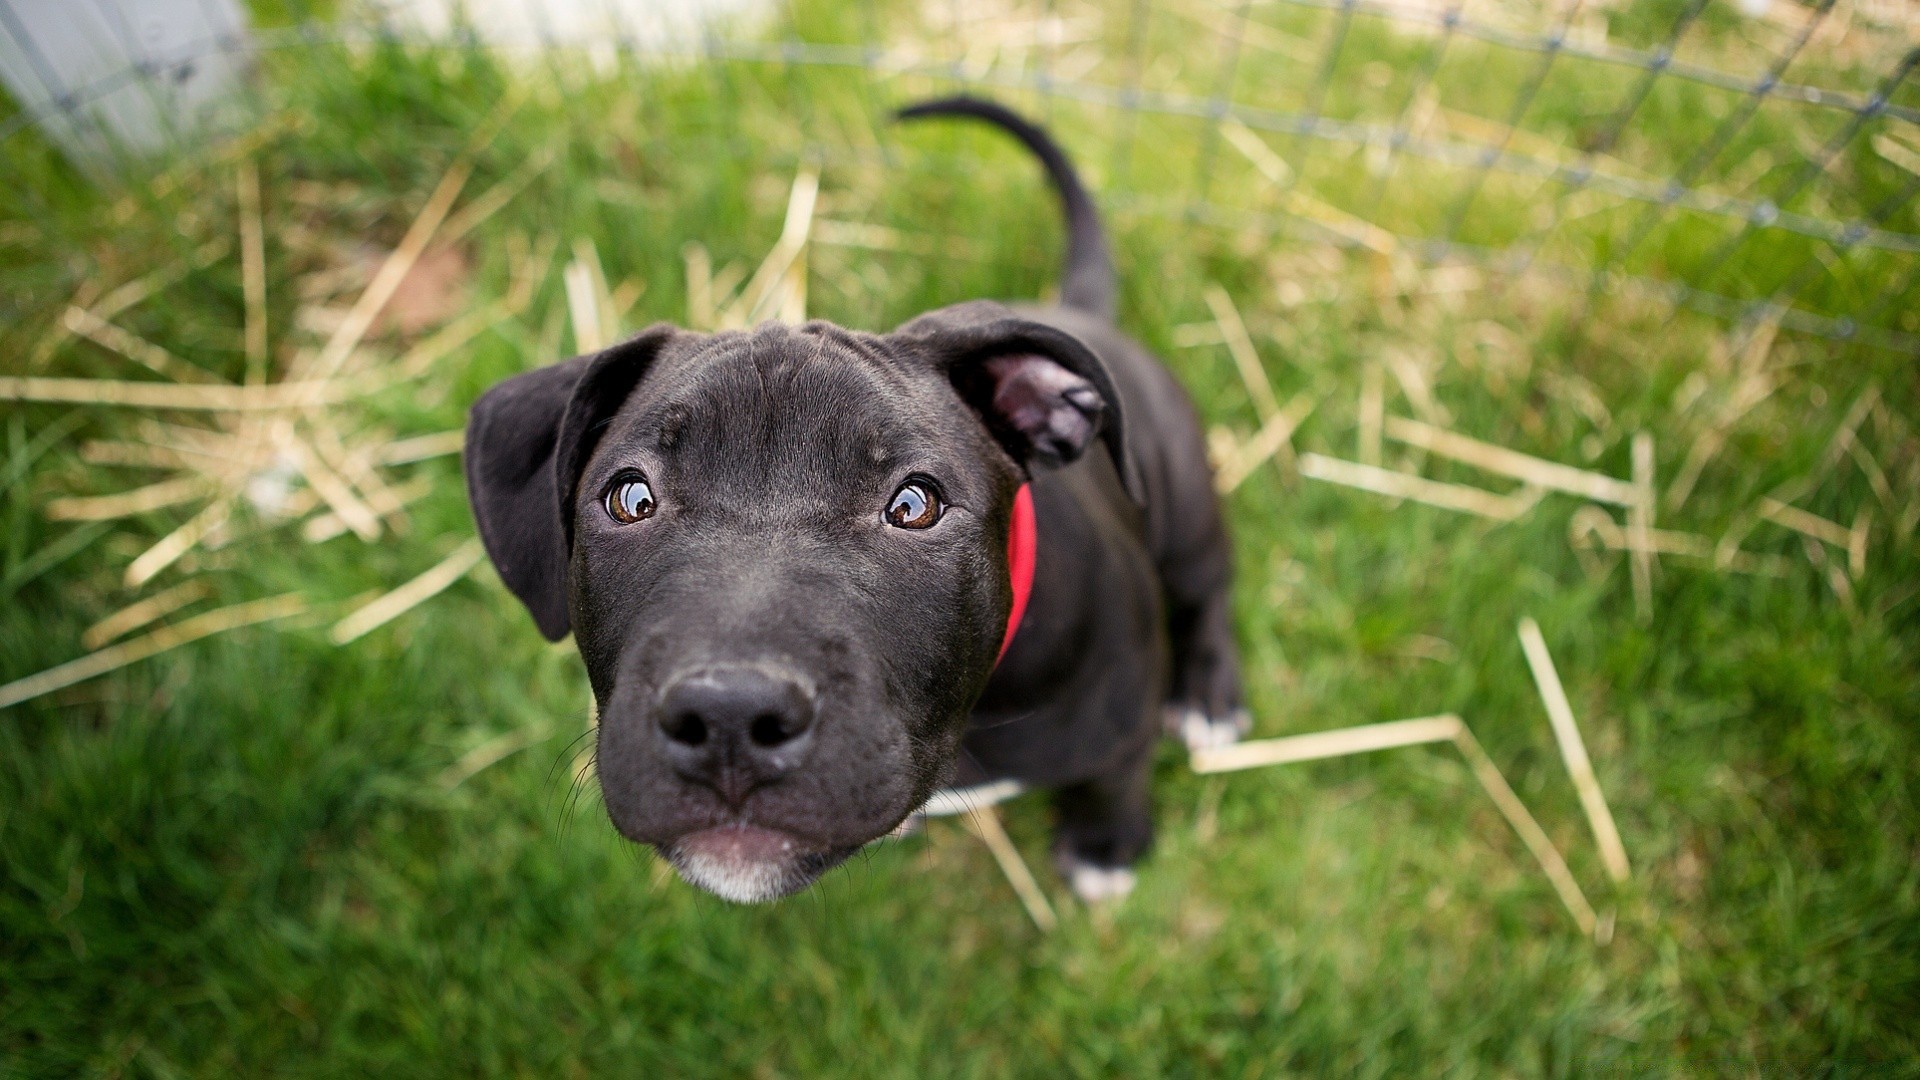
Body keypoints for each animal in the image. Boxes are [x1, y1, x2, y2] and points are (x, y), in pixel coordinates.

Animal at [462, 98, 1244, 899]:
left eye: (913, 506)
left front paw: (1105, 844)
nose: (729, 716)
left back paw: (1210, 698)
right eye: (630, 499)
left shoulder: (1121, 719)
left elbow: (1115, 776)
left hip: (1187, 512)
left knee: (1208, 591)